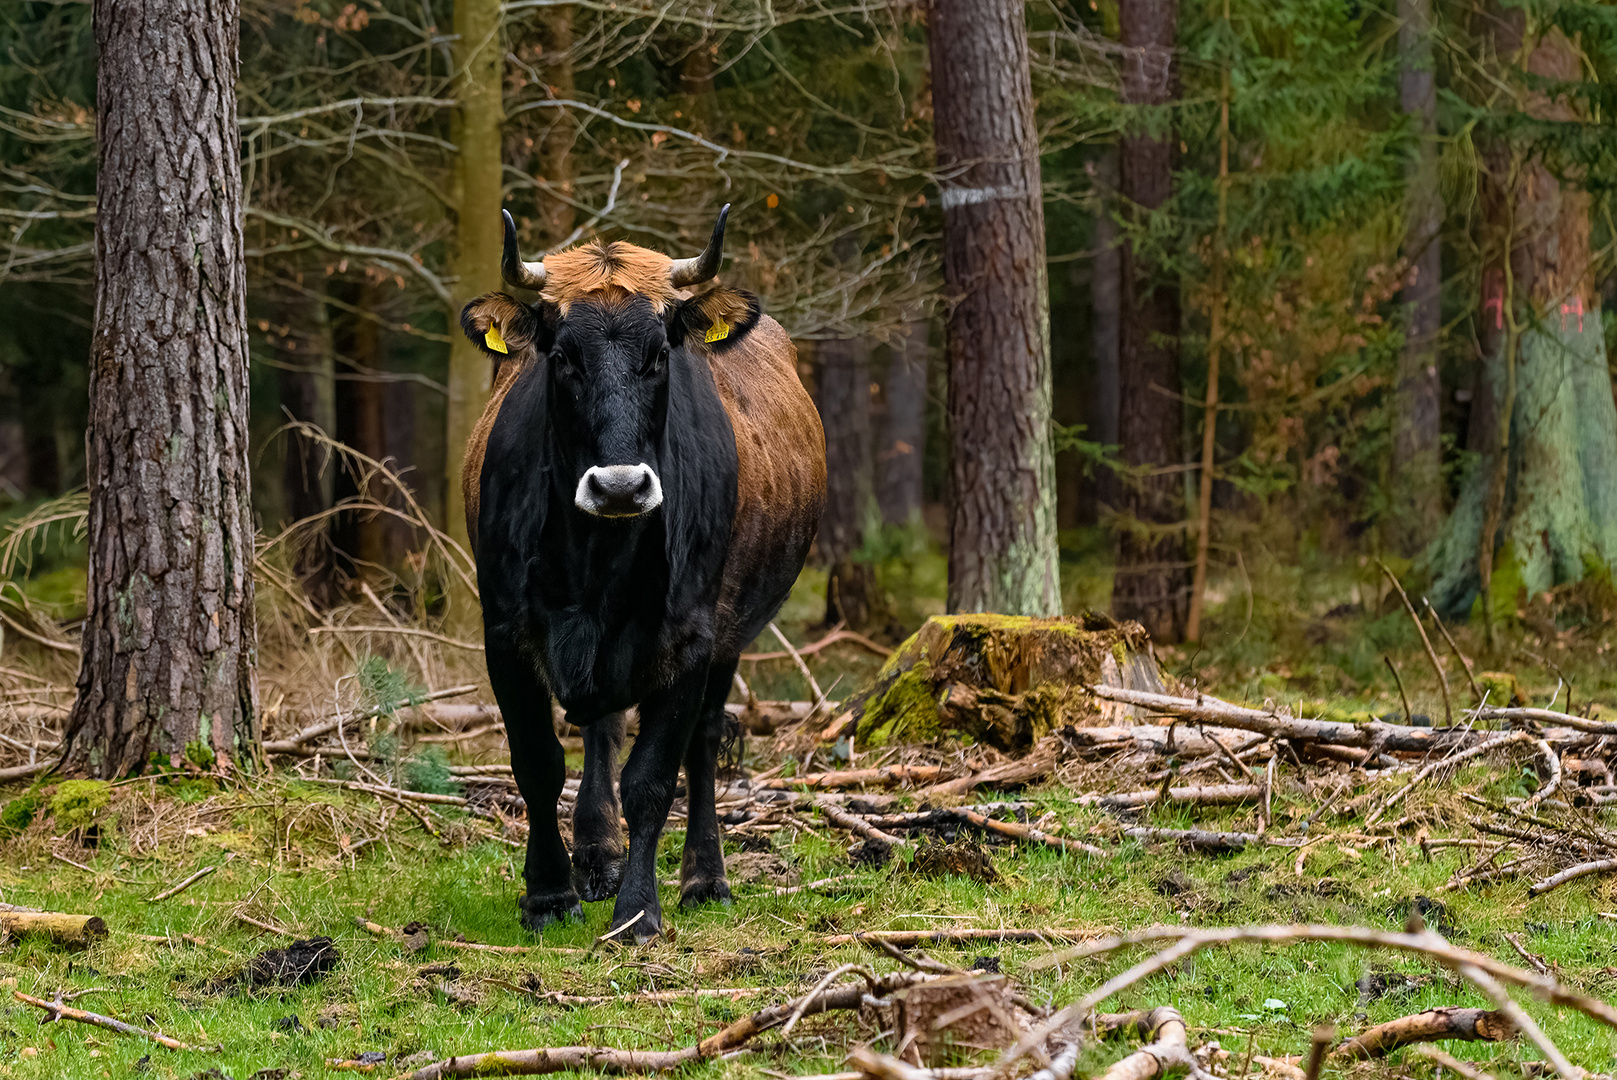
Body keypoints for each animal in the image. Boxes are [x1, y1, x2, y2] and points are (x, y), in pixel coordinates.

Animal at [462, 206, 827, 937]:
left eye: (658, 356)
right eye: (562, 358)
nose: (620, 486)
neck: (594, 560)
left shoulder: (689, 640)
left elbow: (654, 777)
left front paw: (637, 908)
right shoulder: (505, 632)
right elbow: (537, 762)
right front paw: (549, 893)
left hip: (729, 636)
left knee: (703, 742)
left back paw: (703, 877)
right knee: (602, 728)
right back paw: (596, 854)